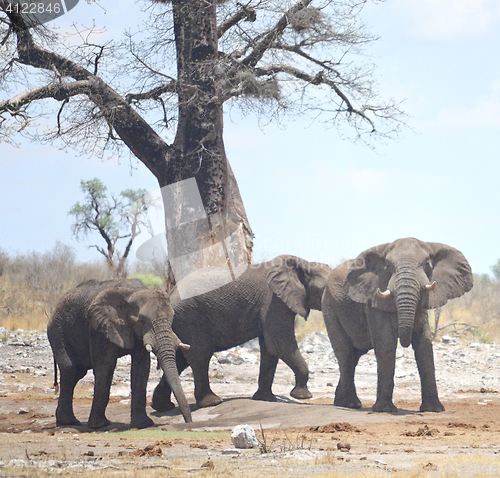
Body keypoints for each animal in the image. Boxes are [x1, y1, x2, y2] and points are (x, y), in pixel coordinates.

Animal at [47, 276, 192, 430]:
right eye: (142, 320)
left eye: (172, 317)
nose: (189, 422)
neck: (132, 293)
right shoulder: (99, 328)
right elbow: (106, 365)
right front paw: (100, 425)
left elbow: (141, 366)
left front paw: (143, 424)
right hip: (57, 330)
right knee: (70, 369)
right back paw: (69, 422)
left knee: (77, 373)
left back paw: (68, 421)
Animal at [151, 254, 332, 410]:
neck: (304, 263)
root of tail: (170, 294)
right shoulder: (274, 301)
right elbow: (279, 344)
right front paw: (302, 396)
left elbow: (269, 349)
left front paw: (265, 399)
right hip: (191, 317)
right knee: (200, 355)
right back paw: (212, 402)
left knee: (180, 358)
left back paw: (162, 407)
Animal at [320, 237, 472, 412]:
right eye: (388, 267)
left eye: (427, 264)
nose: (405, 341)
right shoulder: (373, 301)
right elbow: (386, 343)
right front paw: (384, 410)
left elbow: (424, 343)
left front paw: (434, 410)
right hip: (329, 307)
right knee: (346, 355)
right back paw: (350, 404)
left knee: (354, 355)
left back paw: (343, 402)